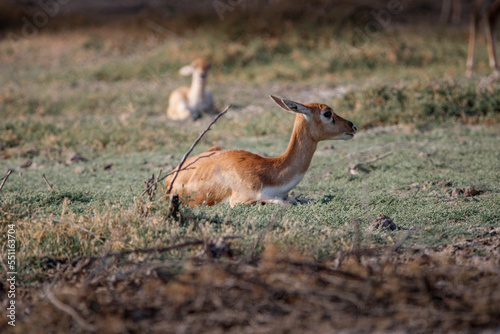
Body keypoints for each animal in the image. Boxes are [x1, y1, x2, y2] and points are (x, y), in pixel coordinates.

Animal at [166, 94, 358, 207]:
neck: (270, 172)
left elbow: (296, 198)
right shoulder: (240, 200)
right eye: (327, 113)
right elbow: (286, 202)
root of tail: (170, 177)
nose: (353, 126)